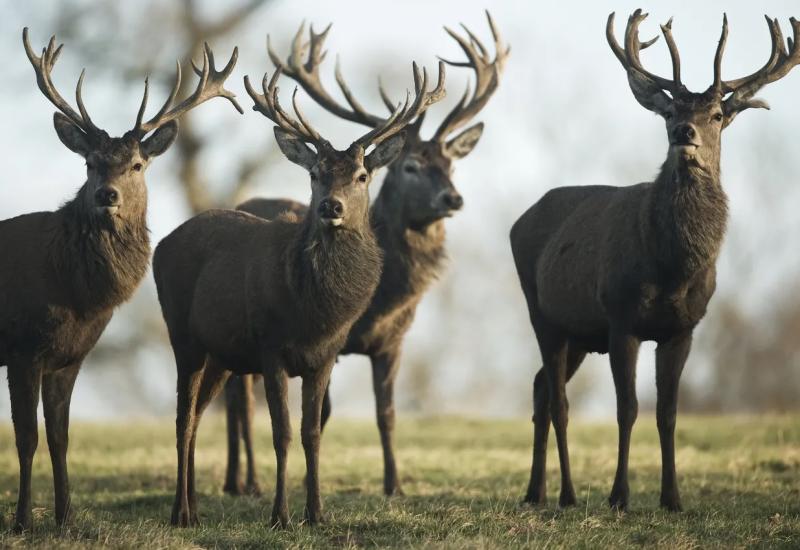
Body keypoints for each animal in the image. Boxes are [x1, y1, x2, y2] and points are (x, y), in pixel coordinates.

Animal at [0, 28, 241, 532]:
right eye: (90, 163)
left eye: (137, 165)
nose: (106, 195)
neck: (75, 294)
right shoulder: (22, 345)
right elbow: (27, 438)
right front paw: (22, 522)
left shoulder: (70, 357)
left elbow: (60, 438)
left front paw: (66, 519)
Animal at [153, 52, 446, 532]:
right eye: (315, 173)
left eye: (362, 175)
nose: (332, 206)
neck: (315, 312)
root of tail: (161, 244)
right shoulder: (270, 347)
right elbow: (282, 432)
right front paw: (280, 516)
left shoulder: (325, 355)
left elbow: (312, 432)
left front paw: (317, 513)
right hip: (184, 336)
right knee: (182, 418)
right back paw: (181, 512)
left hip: (220, 355)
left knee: (196, 416)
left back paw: (194, 507)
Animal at [220, 12, 506, 498]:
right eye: (410, 166)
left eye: (451, 164)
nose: (453, 198)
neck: (383, 301)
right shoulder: (327, 343)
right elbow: (322, 415)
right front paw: (308, 483)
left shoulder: (393, 341)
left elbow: (386, 414)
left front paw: (394, 485)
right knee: (239, 401)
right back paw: (245, 482)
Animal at [512, 10, 800, 516]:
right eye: (669, 112)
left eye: (717, 114)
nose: (685, 133)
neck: (672, 270)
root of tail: (518, 222)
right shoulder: (621, 318)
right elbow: (627, 409)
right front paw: (619, 496)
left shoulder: (683, 327)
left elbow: (668, 412)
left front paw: (673, 498)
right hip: (542, 312)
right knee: (560, 400)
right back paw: (566, 494)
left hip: (579, 333)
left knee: (541, 387)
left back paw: (536, 491)